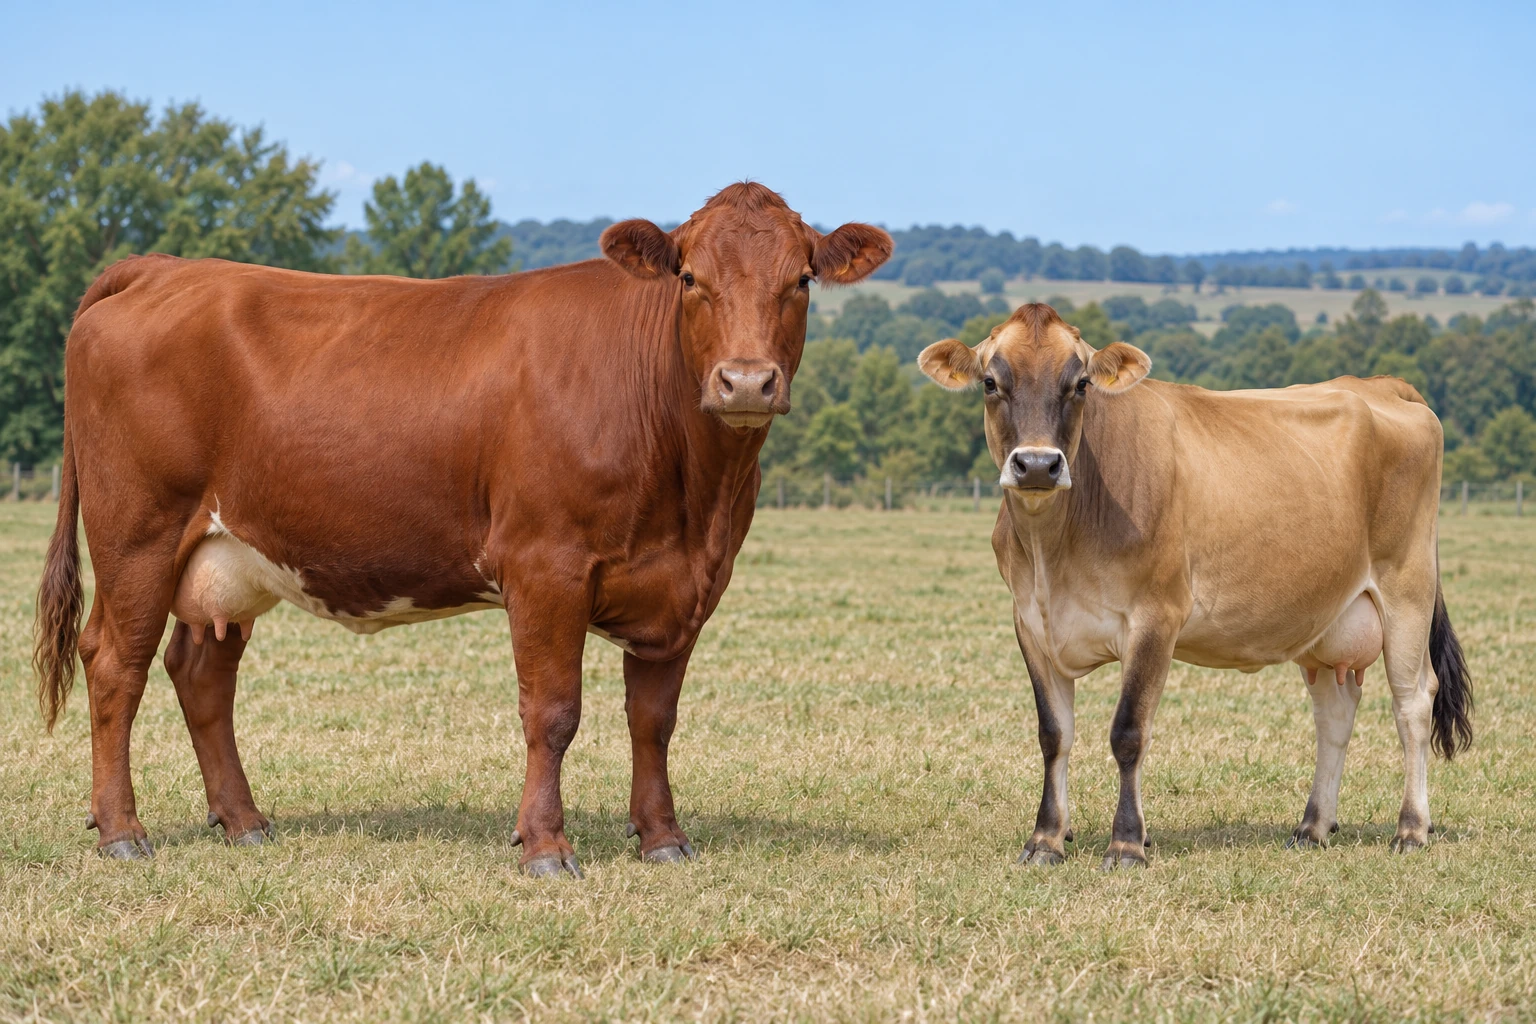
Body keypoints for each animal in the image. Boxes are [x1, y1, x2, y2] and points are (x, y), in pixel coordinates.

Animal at [33, 182, 892, 877]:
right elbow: (553, 712)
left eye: (802, 279)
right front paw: (545, 846)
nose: (745, 381)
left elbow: (654, 720)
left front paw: (663, 840)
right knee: (115, 664)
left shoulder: (684, 586)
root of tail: (166, 267)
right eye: (690, 278)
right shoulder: (545, 565)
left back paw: (244, 822)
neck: (694, 500)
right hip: (138, 532)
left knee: (202, 673)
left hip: (230, 556)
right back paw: (122, 832)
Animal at [917, 303, 1472, 869]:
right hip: (1328, 620)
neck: (1055, 551)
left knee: (1412, 701)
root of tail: (1380, 385)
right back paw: (1312, 826)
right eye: (990, 382)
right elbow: (1054, 734)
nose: (1037, 464)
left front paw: (1127, 842)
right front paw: (1047, 839)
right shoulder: (1031, 622)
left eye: (1081, 384)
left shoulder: (1156, 617)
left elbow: (1128, 732)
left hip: (1407, 590)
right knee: (1334, 713)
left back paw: (1411, 828)